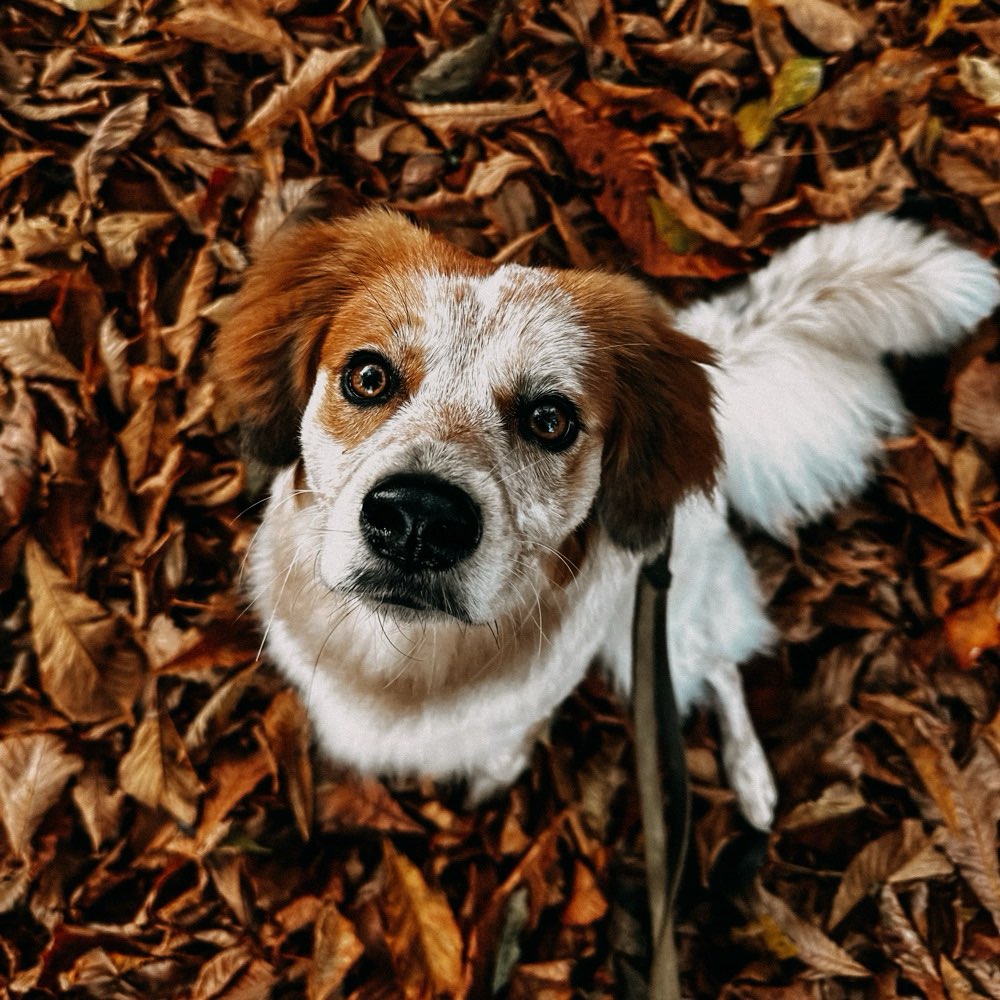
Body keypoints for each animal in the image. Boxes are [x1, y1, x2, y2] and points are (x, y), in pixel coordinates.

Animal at [215, 207, 996, 824]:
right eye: (369, 376)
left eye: (550, 419)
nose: (418, 520)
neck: (404, 658)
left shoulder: (538, 697)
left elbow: (510, 740)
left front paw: (496, 774)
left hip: (655, 629)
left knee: (721, 668)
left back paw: (751, 778)